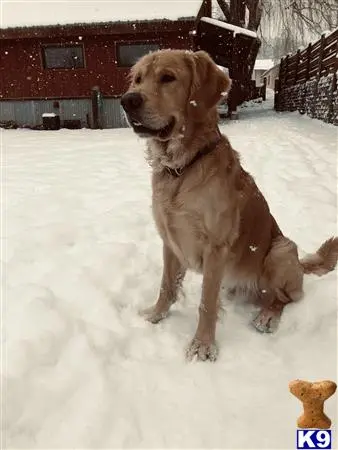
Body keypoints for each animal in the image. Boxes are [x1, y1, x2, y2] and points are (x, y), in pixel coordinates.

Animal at [121, 49, 338, 362]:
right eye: (138, 79)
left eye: (168, 77)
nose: (128, 101)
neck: (183, 167)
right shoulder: (169, 241)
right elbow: (166, 286)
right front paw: (155, 316)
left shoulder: (215, 247)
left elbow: (206, 303)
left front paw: (202, 345)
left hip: (282, 248)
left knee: (284, 298)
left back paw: (267, 317)